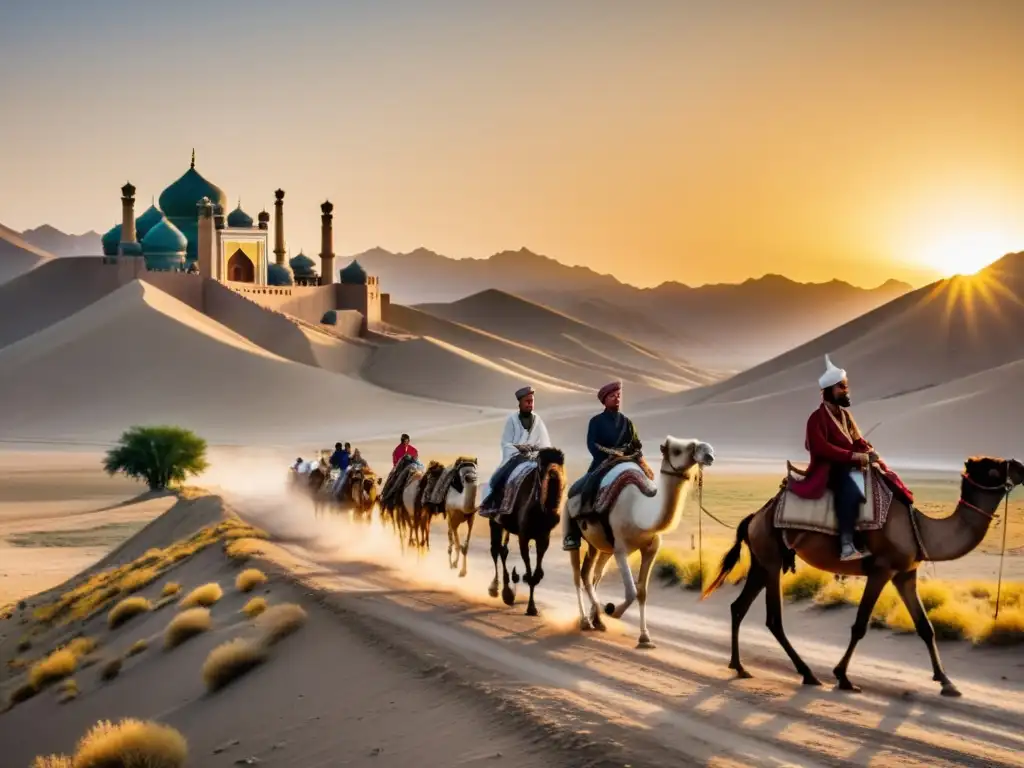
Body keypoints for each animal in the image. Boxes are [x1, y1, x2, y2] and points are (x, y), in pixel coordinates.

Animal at [487, 450, 569, 618]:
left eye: (561, 463)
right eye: (541, 465)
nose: (553, 475)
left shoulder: (543, 537)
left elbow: (536, 575)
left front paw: (532, 606)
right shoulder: (524, 536)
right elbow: (531, 574)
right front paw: (531, 607)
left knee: (503, 550)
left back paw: (508, 591)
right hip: (495, 521)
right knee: (496, 549)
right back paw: (497, 590)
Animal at [565, 436, 716, 647]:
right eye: (677, 450)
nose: (709, 453)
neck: (639, 511)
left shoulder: (651, 549)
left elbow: (642, 592)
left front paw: (645, 637)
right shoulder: (621, 550)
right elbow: (631, 592)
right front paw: (613, 610)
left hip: (601, 547)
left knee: (592, 575)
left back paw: (597, 619)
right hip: (574, 528)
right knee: (578, 575)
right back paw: (587, 620)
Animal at [704, 454, 1024, 700]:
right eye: (992, 466)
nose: (1021, 466)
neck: (919, 528)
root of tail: (754, 517)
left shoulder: (905, 574)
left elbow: (925, 627)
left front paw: (947, 682)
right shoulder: (881, 571)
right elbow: (860, 625)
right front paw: (843, 677)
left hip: (762, 561)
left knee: (738, 607)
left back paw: (739, 666)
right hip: (771, 559)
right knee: (773, 619)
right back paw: (807, 673)